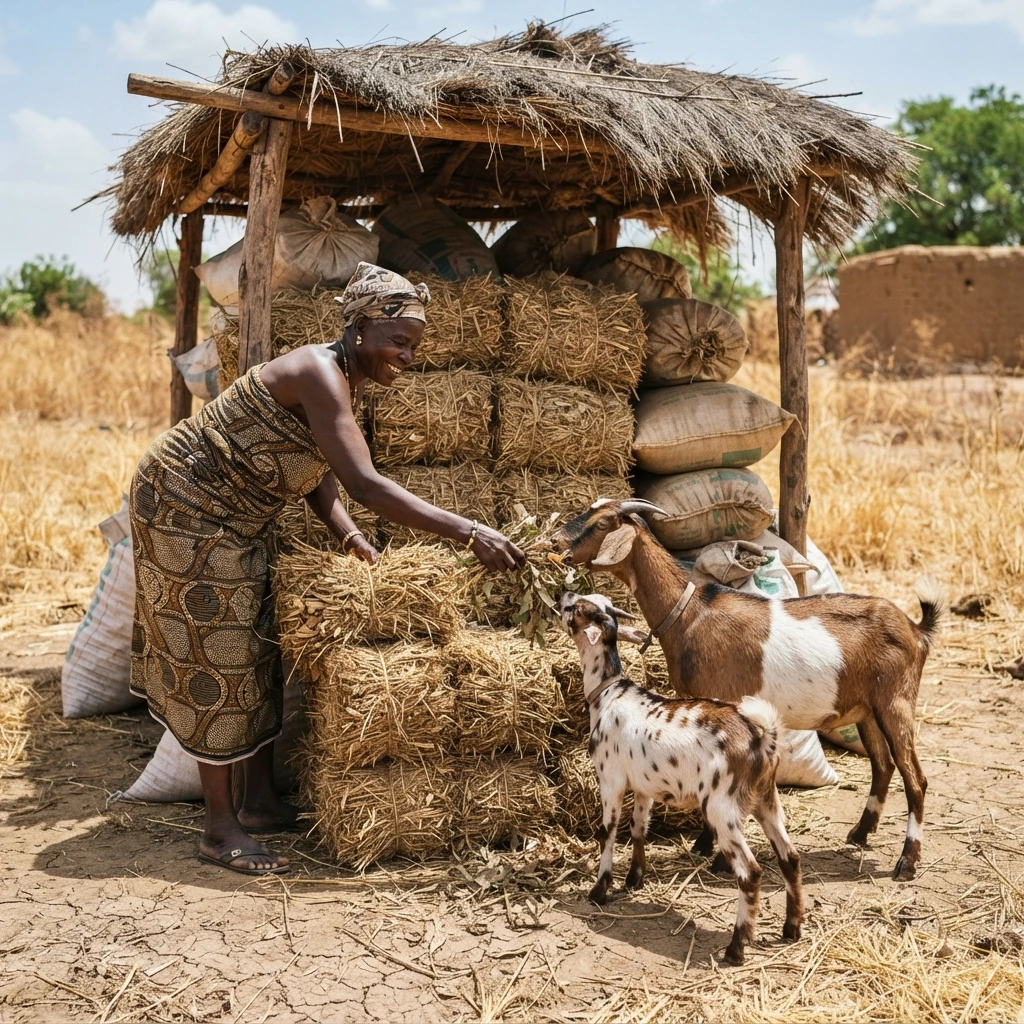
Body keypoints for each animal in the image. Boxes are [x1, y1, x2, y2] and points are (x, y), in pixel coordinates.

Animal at [548, 499, 945, 882]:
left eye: (602, 523)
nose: (555, 543)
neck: (690, 613)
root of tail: (916, 629)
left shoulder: (722, 699)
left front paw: (715, 853)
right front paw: (705, 846)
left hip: (895, 702)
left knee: (915, 778)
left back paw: (906, 863)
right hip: (866, 709)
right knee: (883, 765)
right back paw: (860, 834)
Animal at [560, 591, 803, 966]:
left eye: (575, 609)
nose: (565, 595)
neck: (608, 694)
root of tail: (759, 739)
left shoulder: (610, 779)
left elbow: (608, 832)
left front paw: (599, 890)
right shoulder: (643, 787)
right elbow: (639, 828)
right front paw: (634, 879)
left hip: (722, 810)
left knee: (750, 872)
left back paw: (735, 948)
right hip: (766, 800)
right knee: (789, 857)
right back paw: (791, 929)